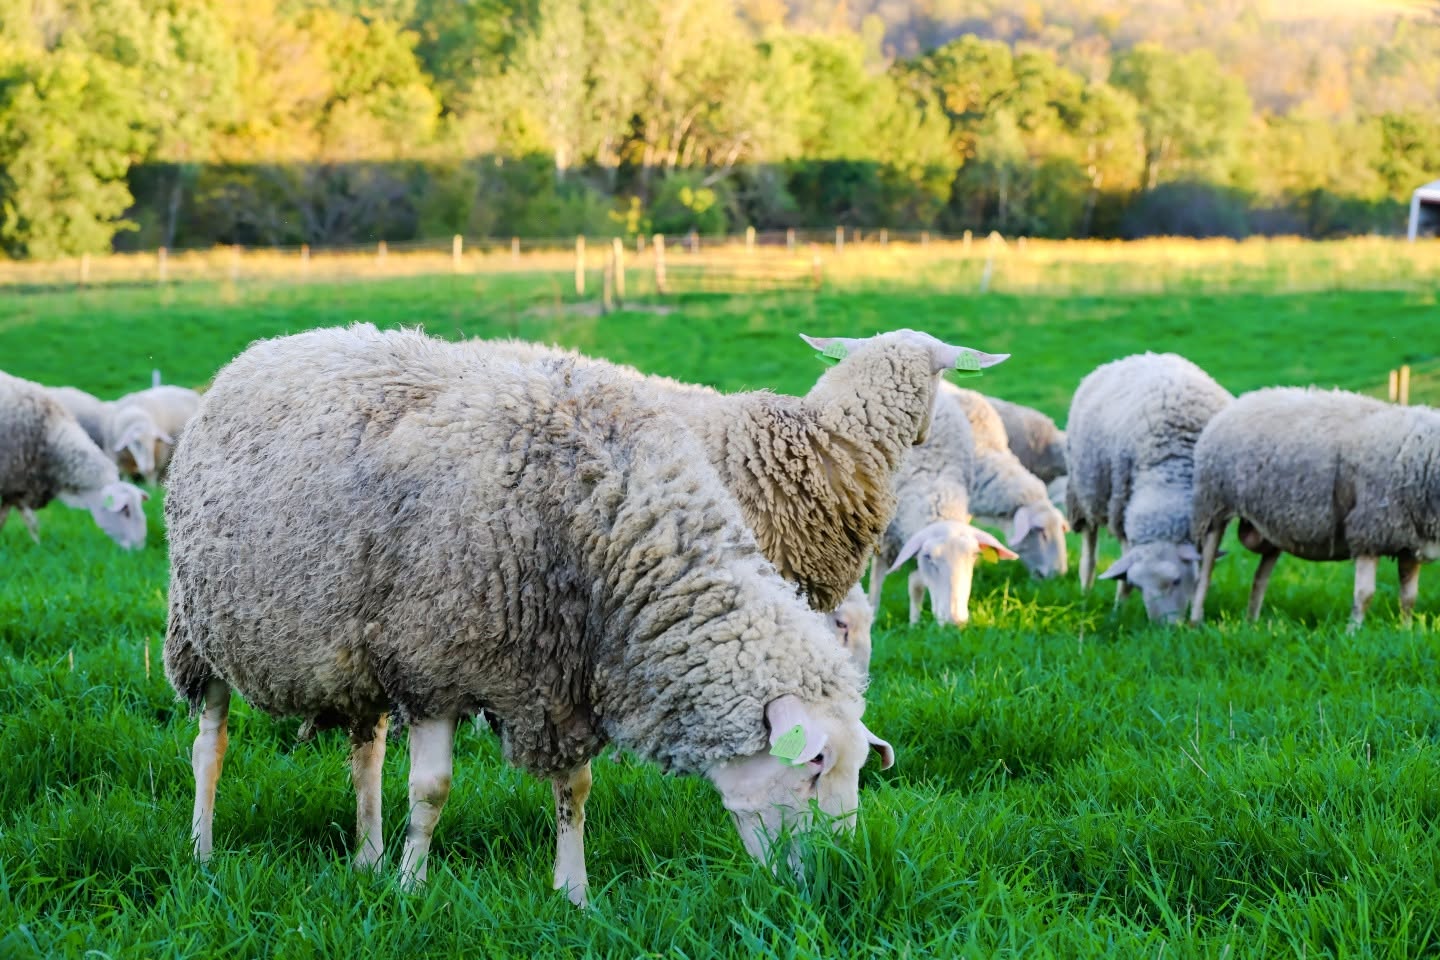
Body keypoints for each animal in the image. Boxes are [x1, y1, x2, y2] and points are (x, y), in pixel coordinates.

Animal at [164, 324, 896, 906]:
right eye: (814, 765)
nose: (837, 880)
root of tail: (265, 348)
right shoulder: (432, 664)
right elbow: (432, 790)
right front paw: (411, 887)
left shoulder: (556, 678)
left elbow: (575, 790)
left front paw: (572, 892)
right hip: (195, 629)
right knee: (209, 743)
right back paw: (202, 849)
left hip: (356, 653)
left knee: (365, 751)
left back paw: (366, 858)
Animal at [869, 384, 1017, 628]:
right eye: (930, 557)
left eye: (974, 556)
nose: (955, 621)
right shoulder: (884, 538)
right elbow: (876, 584)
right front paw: (871, 618)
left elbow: (917, 584)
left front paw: (914, 622)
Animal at [1065, 353, 1232, 623]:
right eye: (1140, 586)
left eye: (1176, 581)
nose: (1164, 628)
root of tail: (1142, 356)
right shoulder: (1120, 508)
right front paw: (1118, 610)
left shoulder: (1214, 514)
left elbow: (1205, 569)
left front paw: (1196, 615)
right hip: (1085, 493)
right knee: (1089, 550)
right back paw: (1085, 592)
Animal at [1190, 387, 1440, 628]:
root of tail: (1241, 401)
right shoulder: (1369, 531)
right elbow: (1365, 594)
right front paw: (1352, 633)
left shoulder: (1411, 541)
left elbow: (1408, 599)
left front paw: (1406, 632)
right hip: (1213, 506)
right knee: (1206, 572)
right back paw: (1195, 620)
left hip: (1271, 525)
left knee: (1259, 578)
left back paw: (1251, 624)